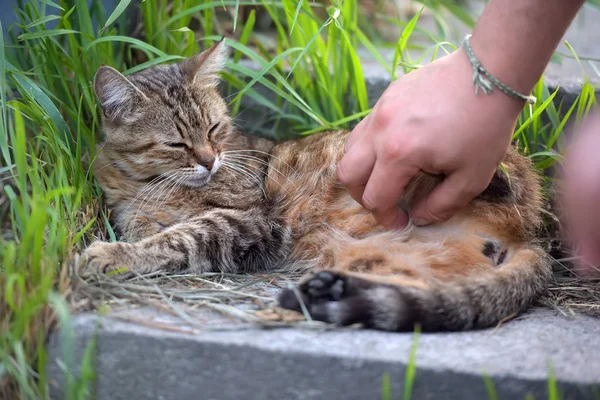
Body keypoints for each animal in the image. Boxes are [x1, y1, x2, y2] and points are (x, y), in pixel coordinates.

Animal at [84, 40, 552, 332]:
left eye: (215, 129)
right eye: (176, 143)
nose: (209, 159)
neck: (143, 183)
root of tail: (529, 236)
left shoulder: (250, 219)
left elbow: (180, 237)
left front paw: (112, 254)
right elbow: (155, 231)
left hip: (482, 168)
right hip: (389, 263)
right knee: (423, 303)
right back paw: (323, 296)